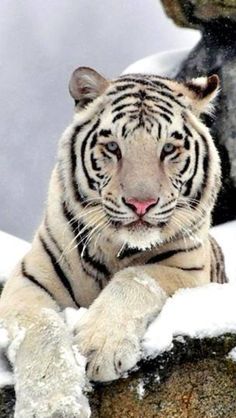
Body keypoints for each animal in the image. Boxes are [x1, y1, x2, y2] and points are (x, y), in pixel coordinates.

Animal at [0, 67, 226, 416]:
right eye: (113, 147)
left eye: (168, 149)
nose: (141, 204)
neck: (115, 249)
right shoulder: (27, 280)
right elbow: (41, 329)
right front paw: (55, 407)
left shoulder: (188, 271)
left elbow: (136, 277)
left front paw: (99, 348)